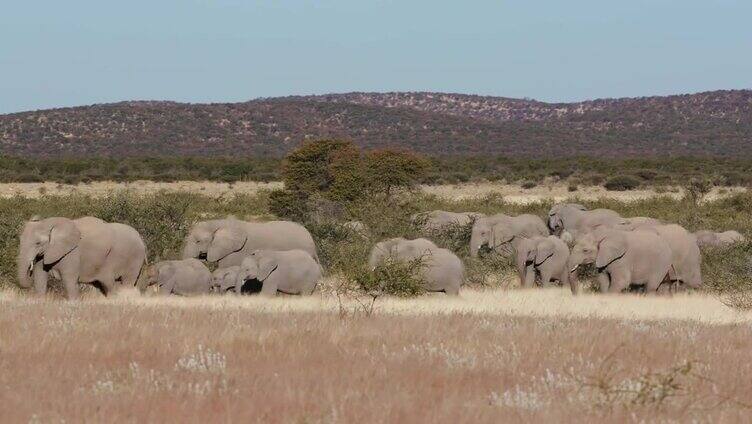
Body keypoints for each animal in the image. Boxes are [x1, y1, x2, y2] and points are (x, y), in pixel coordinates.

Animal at [17, 217, 148, 300]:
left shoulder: (72, 253)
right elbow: (40, 276)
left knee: (124, 283)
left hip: (134, 257)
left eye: (38, 243)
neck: (49, 223)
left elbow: (69, 279)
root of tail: (141, 239)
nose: (29, 269)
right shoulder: (46, 253)